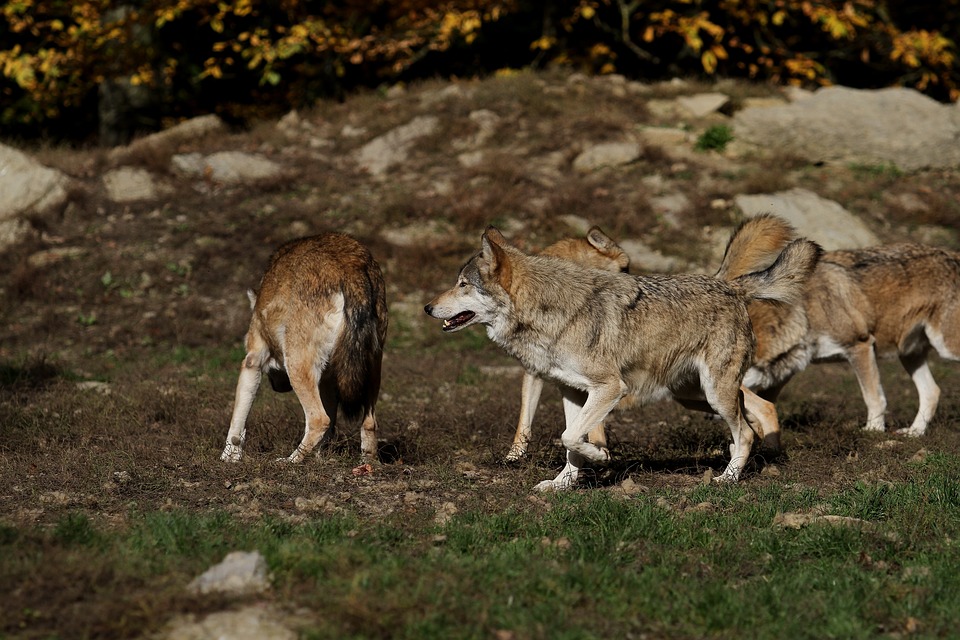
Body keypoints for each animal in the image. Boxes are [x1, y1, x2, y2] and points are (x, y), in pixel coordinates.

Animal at [223, 232, 388, 462]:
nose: (279, 388)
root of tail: (350, 267)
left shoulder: (252, 360)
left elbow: (237, 421)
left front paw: (229, 457)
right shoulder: (327, 381)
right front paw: (320, 458)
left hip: (296, 366)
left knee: (319, 420)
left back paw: (289, 461)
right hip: (372, 371)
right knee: (369, 423)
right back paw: (367, 464)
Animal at [716, 214, 960, 436]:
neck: (806, 312)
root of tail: (954, 255)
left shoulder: (860, 346)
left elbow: (874, 398)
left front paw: (873, 432)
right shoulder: (788, 370)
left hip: (944, 347)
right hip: (910, 354)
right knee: (932, 392)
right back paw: (914, 432)